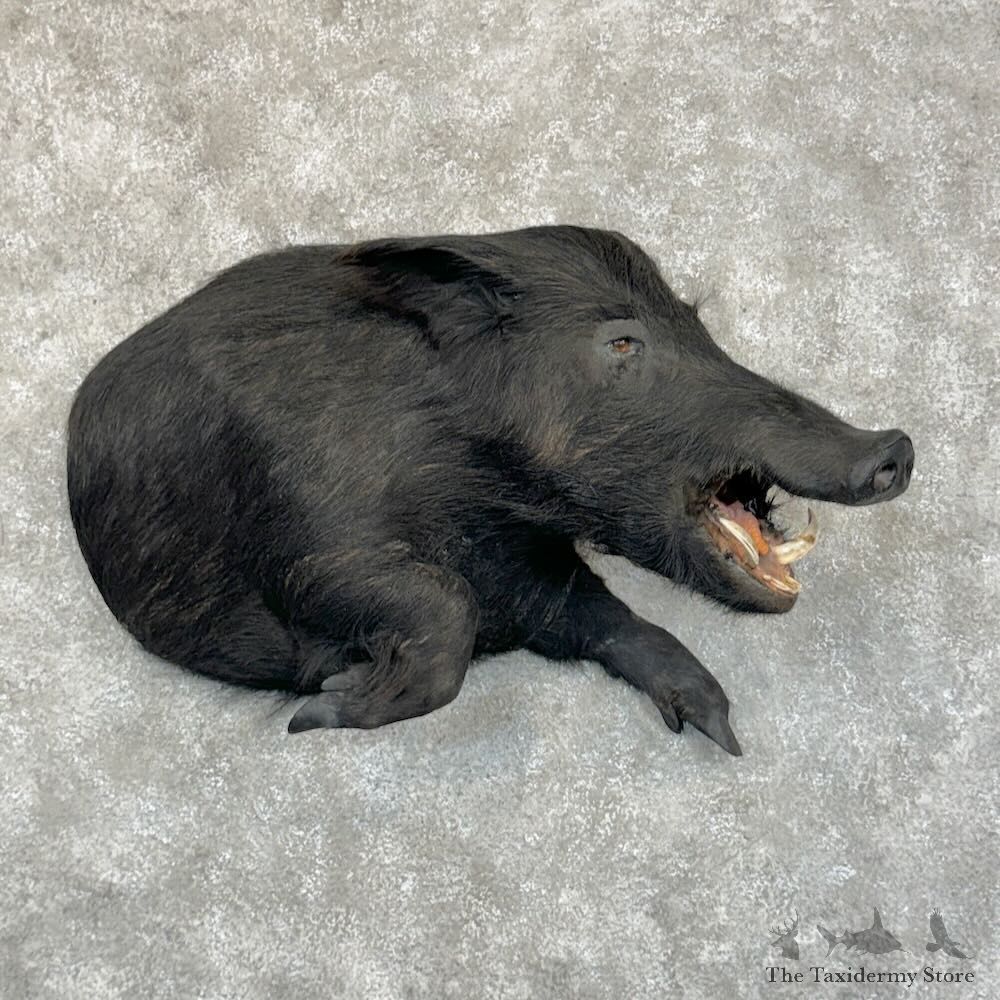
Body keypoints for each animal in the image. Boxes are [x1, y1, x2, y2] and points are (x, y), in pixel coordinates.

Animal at [67, 226, 914, 755]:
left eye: (697, 321)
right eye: (622, 342)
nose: (896, 447)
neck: (478, 496)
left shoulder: (534, 572)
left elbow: (599, 613)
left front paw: (722, 733)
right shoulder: (310, 542)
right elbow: (442, 609)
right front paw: (316, 709)